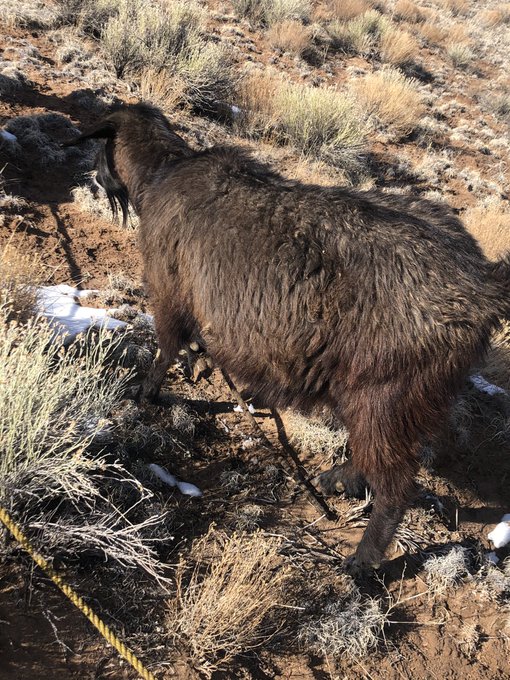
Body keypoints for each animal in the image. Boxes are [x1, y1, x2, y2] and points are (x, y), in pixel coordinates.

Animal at [67, 103, 510, 574]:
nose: (95, 179)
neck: (165, 171)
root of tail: (480, 286)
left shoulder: (169, 293)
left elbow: (165, 349)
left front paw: (144, 394)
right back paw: (337, 480)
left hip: (384, 395)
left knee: (395, 486)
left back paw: (362, 560)